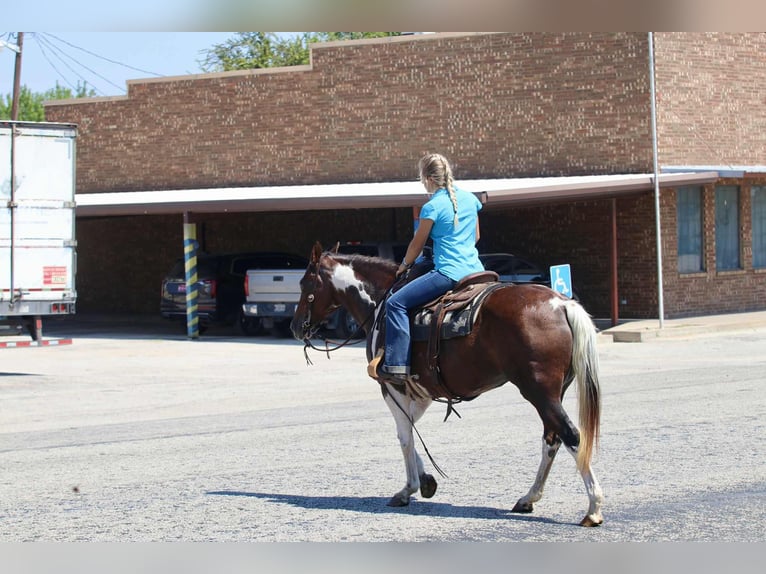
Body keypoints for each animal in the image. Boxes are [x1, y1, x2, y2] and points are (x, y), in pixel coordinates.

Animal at [290, 242, 604, 526]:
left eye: (305, 283)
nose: (295, 326)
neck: (381, 303)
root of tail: (562, 304)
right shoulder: (422, 391)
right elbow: (409, 431)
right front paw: (426, 480)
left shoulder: (392, 386)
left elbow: (404, 436)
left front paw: (408, 489)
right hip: (552, 393)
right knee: (552, 439)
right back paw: (528, 498)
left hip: (539, 392)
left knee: (571, 436)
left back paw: (593, 508)